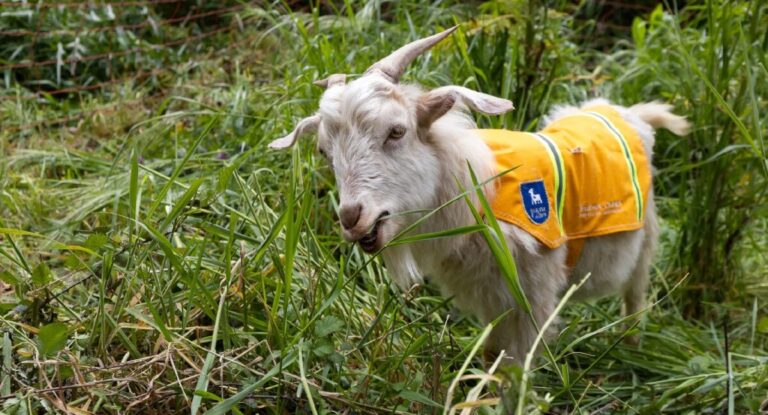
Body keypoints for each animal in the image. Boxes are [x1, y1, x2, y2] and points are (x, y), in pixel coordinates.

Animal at [269, 26, 690, 364]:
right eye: (324, 151)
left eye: (396, 131)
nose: (352, 217)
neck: (482, 191)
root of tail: (624, 112)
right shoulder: (492, 300)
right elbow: (491, 357)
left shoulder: (531, 301)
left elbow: (513, 372)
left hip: (645, 237)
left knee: (636, 294)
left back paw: (632, 344)